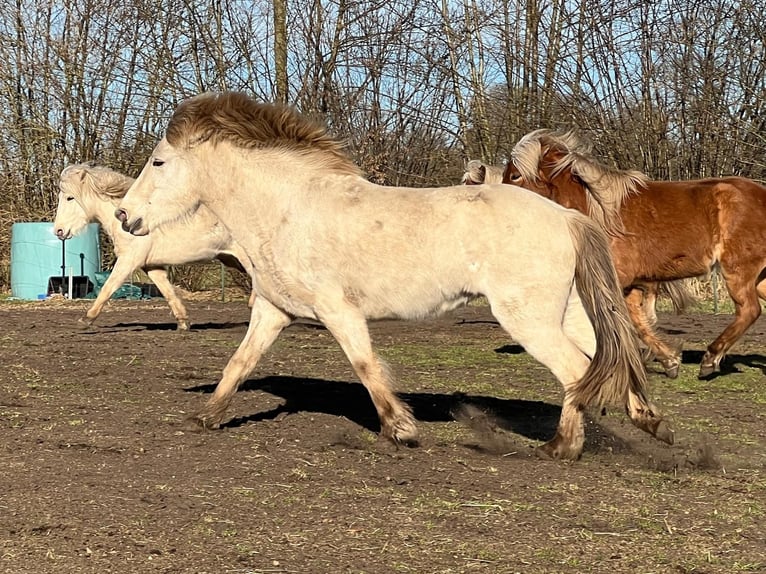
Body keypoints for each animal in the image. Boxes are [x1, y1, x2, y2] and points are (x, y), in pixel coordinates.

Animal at [54, 164, 254, 330]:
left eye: (70, 198)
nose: (58, 231)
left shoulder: (128, 261)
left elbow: (107, 288)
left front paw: (85, 320)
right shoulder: (151, 266)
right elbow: (167, 291)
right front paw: (183, 322)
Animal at [115, 91, 673, 460]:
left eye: (158, 161)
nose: (124, 216)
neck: (290, 209)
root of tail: (566, 217)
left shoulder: (338, 311)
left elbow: (366, 367)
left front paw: (401, 430)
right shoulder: (274, 311)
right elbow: (239, 363)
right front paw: (206, 418)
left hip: (529, 320)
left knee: (578, 371)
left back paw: (563, 448)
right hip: (569, 313)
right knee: (611, 360)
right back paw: (651, 423)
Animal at [504, 129, 766, 379]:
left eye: (515, 174)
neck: (600, 211)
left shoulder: (620, 279)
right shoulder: (633, 284)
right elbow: (639, 320)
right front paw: (669, 361)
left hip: (738, 269)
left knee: (749, 310)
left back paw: (710, 360)